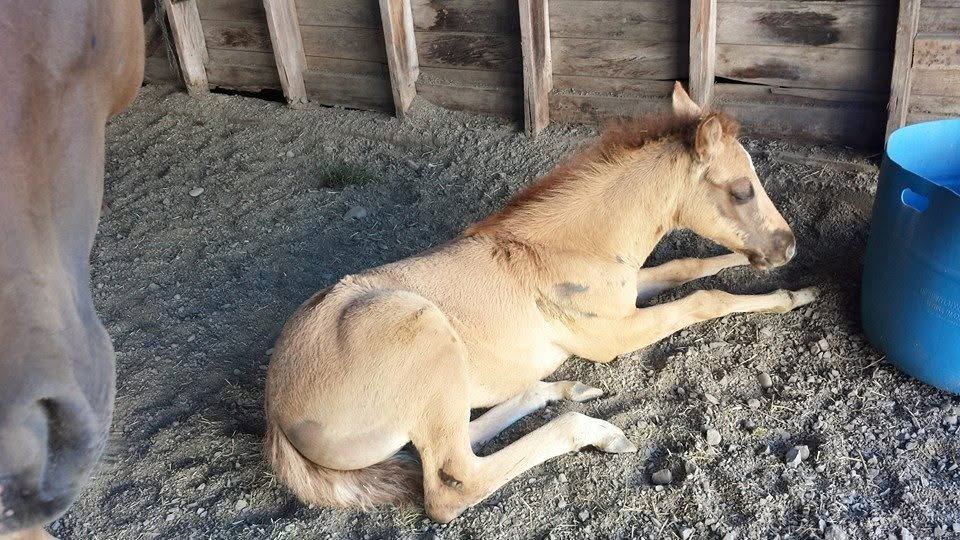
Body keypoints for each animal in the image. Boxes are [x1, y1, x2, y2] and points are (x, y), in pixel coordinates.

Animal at [264, 82, 817, 522]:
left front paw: (767, 271)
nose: (788, 246)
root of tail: (275, 408)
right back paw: (596, 430)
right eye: (741, 190)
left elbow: (686, 268)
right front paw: (791, 295)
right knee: (452, 480)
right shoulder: (614, 334)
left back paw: (562, 389)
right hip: (425, 335)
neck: (568, 246)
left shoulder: (626, 295)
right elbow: (703, 299)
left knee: (462, 436)